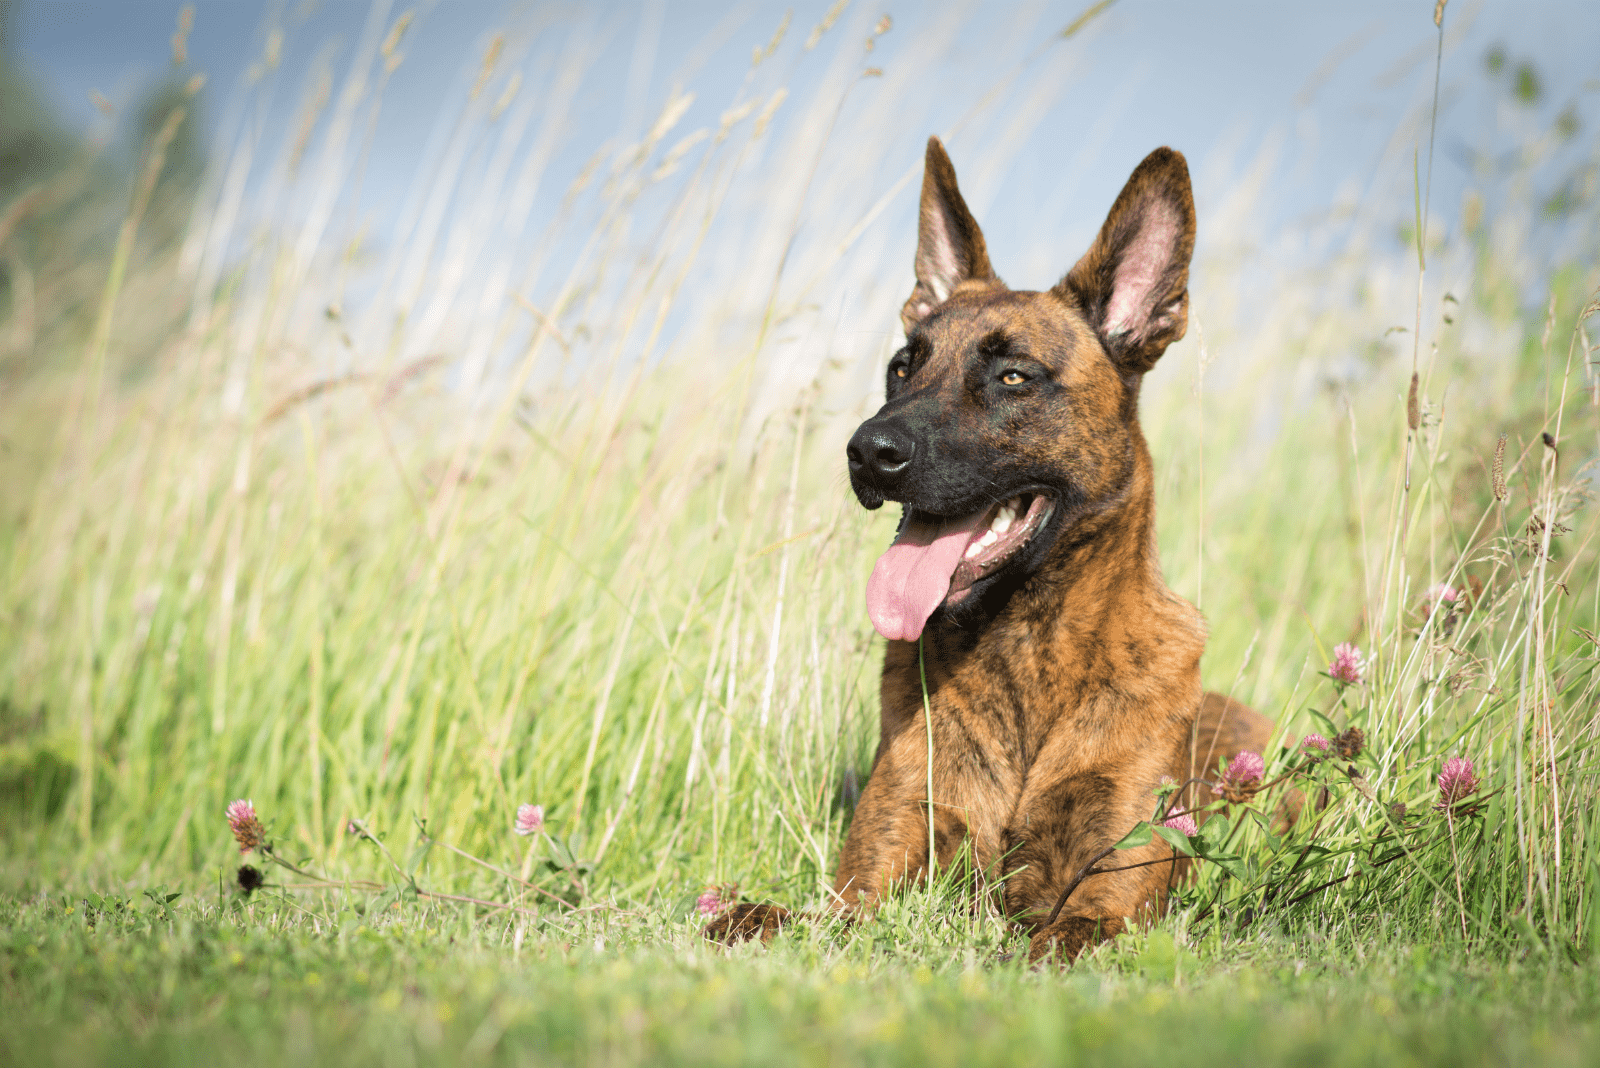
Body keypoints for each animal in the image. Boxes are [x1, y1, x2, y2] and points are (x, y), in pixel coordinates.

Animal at [707, 137, 1280, 965]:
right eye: (902, 366)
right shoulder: (874, 873)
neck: (1025, 656)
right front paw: (748, 916)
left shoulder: (1114, 892)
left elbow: (1059, 936)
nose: (867, 451)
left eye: (1013, 376)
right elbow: (807, 918)